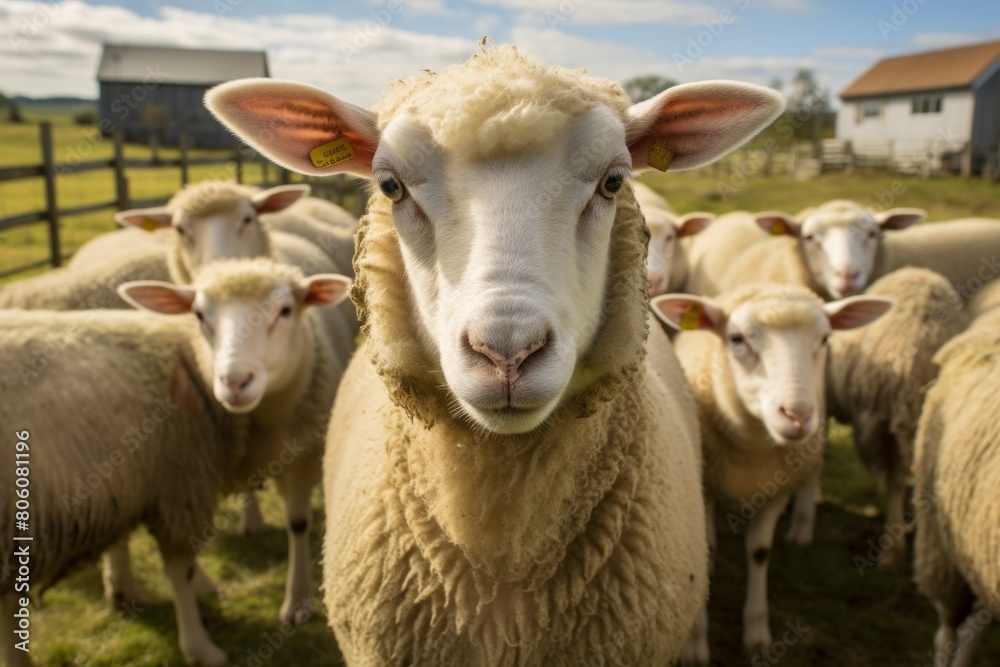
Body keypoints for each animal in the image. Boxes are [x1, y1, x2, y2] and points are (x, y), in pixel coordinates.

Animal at [0, 260, 352, 667]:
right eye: (199, 314)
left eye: (285, 310)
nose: (235, 382)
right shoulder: (173, 483)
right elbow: (178, 568)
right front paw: (200, 646)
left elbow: (296, 526)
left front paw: (295, 603)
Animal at [652, 284, 896, 664]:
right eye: (737, 339)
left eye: (825, 338)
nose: (797, 415)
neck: (752, 450)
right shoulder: (701, 488)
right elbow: (703, 554)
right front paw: (694, 645)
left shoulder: (778, 489)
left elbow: (759, 550)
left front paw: (756, 633)